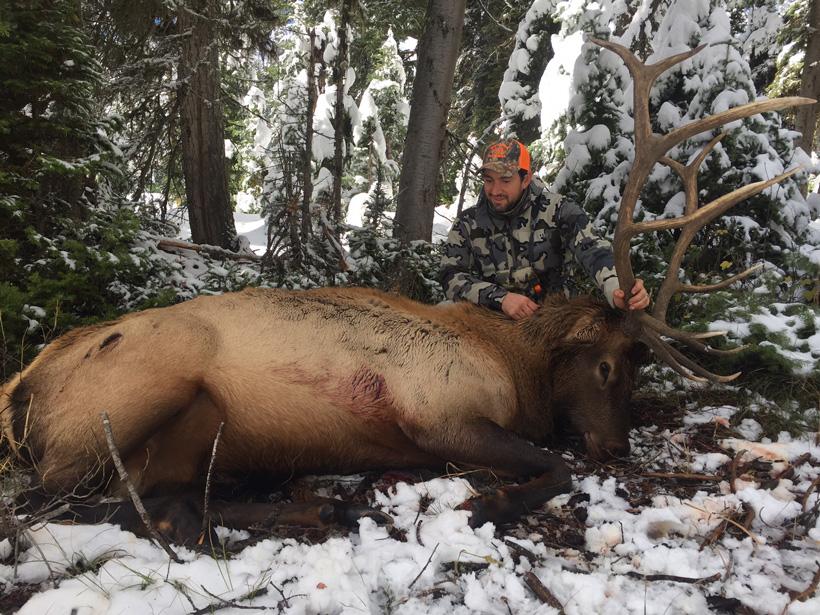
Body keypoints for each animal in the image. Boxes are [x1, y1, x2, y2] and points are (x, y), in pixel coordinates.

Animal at [0, 39, 813, 544]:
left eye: (643, 369)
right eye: (609, 362)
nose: (617, 446)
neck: (519, 367)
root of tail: (21, 387)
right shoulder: (438, 413)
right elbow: (555, 464)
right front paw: (488, 503)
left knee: (149, 491)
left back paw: (302, 506)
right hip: (140, 388)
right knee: (69, 500)